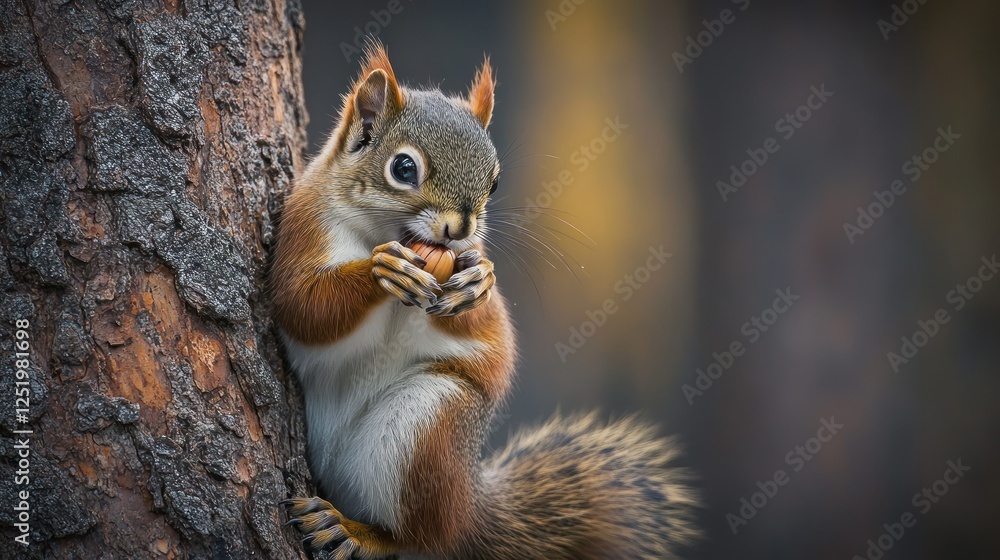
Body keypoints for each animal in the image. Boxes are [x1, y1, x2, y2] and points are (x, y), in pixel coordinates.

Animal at [272, 43, 699, 560]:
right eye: (403, 168)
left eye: (493, 182)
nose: (459, 229)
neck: (382, 233)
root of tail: (468, 513)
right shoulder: (303, 229)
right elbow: (302, 305)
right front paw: (383, 271)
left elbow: (495, 339)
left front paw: (480, 281)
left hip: (427, 423)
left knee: (417, 537)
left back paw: (358, 533)